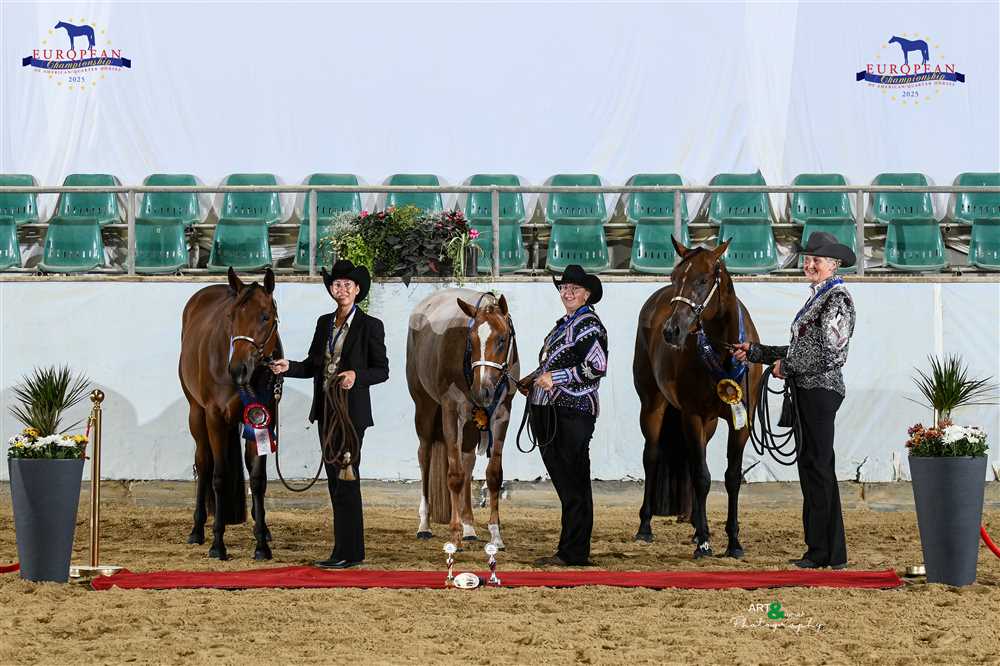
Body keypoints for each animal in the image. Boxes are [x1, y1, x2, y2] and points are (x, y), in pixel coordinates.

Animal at [179, 267, 282, 560]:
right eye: (232, 317)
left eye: (266, 316)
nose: (238, 369)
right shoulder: (215, 417)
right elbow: (220, 475)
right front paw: (217, 544)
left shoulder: (264, 417)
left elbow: (258, 479)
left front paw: (261, 544)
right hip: (196, 414)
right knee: (204, 464)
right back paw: (197, 530)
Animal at [407, 289, 519, 549]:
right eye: (472, 340)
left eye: (502, 339)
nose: (483, 390)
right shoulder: (450, 409)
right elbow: (454, 475)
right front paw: (454, 535)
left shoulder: (502, 414)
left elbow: (493, 475)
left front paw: (495, 535)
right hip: (426, 408)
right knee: (425, 456)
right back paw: (425, 525)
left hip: (470, 422)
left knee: (468, 461)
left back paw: (469, 527)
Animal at [634, 238, 763, 559]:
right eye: (675, 278)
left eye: (703, 280)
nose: (671, 331)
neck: (723, 351)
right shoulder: (692, 415)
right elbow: (703, 477)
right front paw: (705, 542)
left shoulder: (740, 421)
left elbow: (732, 477)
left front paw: (733, 542)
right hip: (652, 405)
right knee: (652, 457)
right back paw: (646, 526)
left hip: (709, 423)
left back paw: (694, 526)